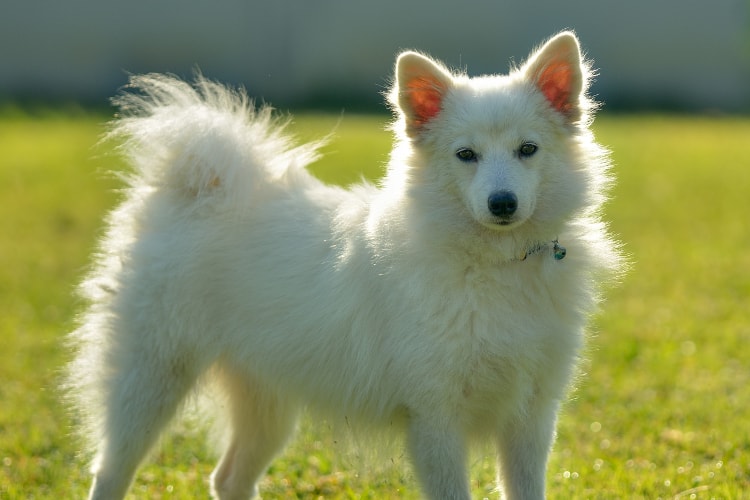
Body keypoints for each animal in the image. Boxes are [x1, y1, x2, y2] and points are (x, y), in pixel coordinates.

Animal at [69, 31, 624, 500]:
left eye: (528, 149)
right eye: (466, 155)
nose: (503, 203)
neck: (495, 262)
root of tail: (201, 188)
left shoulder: (531, 415)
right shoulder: (436, 417)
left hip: (266, 400)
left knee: (227, 479)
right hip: (150, 378)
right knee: (111, 469)